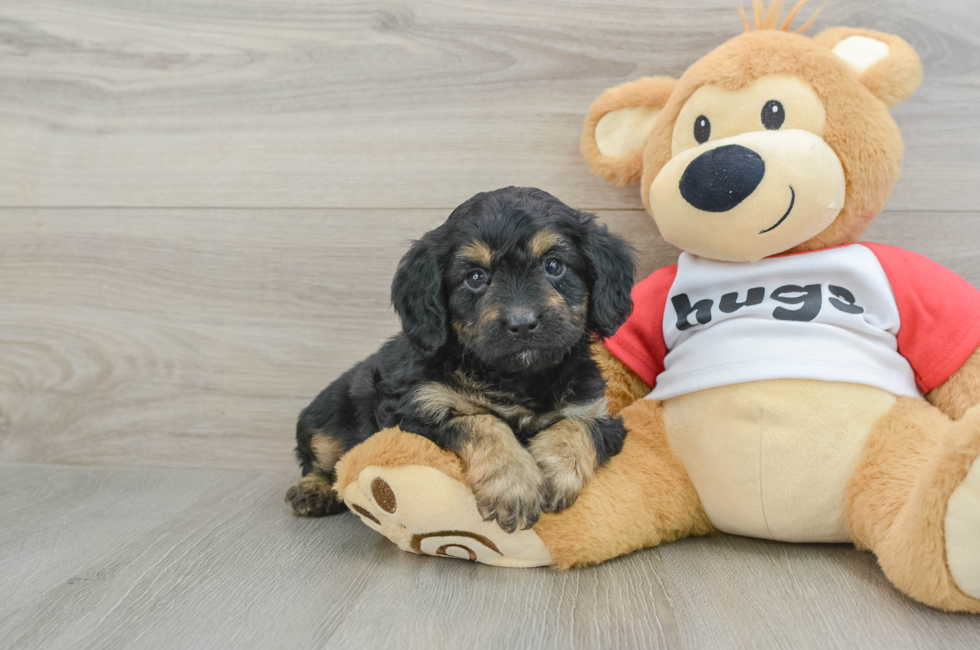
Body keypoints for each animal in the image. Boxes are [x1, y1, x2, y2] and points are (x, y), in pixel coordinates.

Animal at [284, 185, 636, 528]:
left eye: (554, 266)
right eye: (475, 277)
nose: (522, 324)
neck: (515, 378)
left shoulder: (598, 413)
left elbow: (578, 426)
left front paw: (556, 472)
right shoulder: (417, 410)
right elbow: (481, 421)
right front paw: (514, 485)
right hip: (325, 422)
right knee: (320, 460)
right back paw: (311, 491)